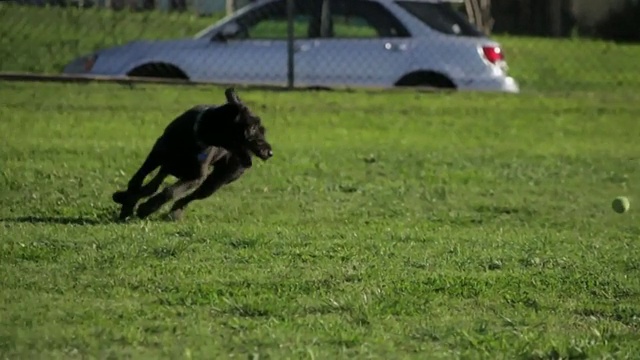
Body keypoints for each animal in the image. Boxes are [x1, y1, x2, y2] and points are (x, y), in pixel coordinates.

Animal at [112, 88, 272, 221]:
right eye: (252, 127)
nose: (270, 152)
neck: (198, 135)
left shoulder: (196, 177)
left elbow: (170, 191)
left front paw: (146, 208)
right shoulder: (155, 156)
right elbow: (137, 179)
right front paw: (127, 205)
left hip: (217, 180)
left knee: (190, 196)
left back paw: (175, 211)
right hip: (168, 165)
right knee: (153, 185)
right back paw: (123, 197)